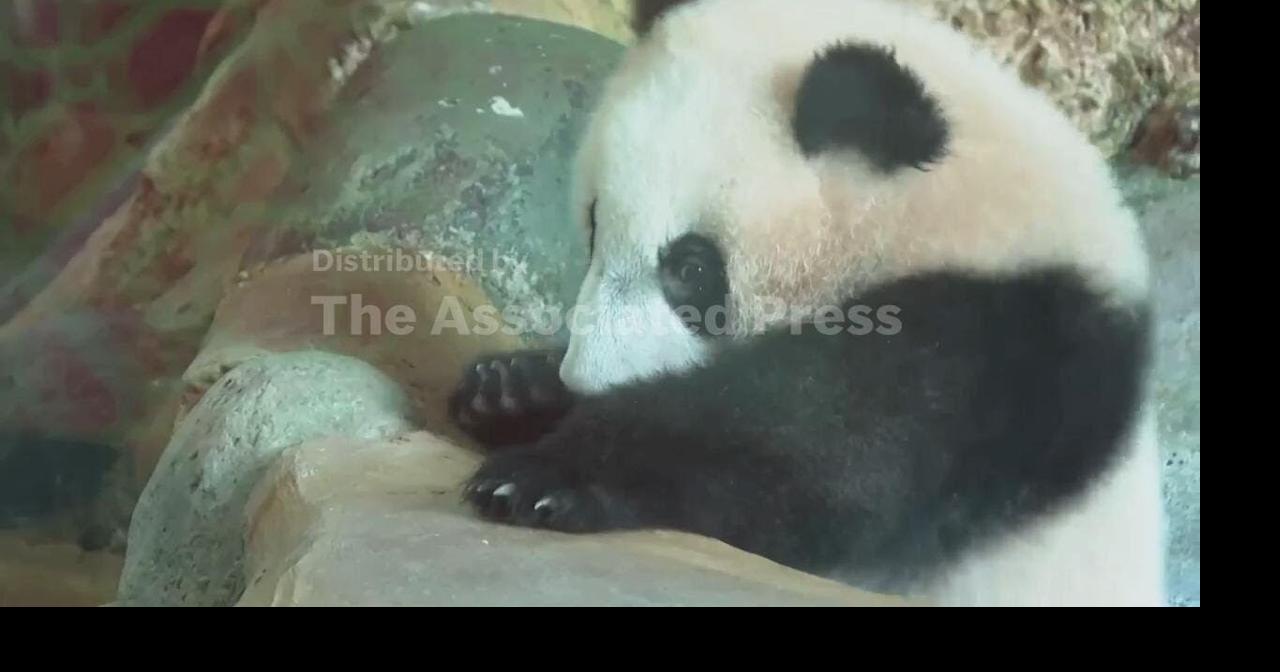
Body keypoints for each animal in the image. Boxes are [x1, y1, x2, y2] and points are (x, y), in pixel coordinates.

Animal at [447, 0, 1166, 606]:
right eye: (595, 226)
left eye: (691, 268)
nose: (587, 382)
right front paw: (511, 387)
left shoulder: (997, 355)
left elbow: (814, 456)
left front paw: (539, 476)